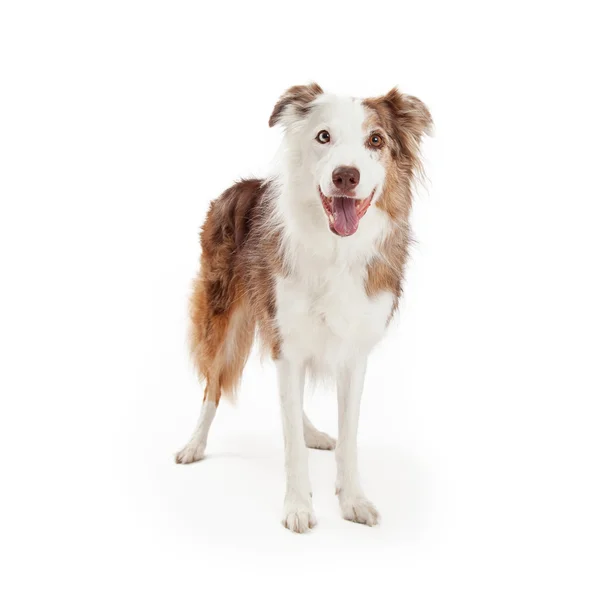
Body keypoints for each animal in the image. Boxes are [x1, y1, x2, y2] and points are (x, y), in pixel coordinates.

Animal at [173, 82, 432, 532]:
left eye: (375, 140)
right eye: (323, 136)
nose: (345, 176)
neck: (336, 250)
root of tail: (239, 186)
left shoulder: (351, 354)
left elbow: (347, 435)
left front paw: (353, 500)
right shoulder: (286, 340)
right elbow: (289, 439)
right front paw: (297, 506)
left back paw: (313, 433)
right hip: (221, 317)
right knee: (213, 386)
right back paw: (194, 444)